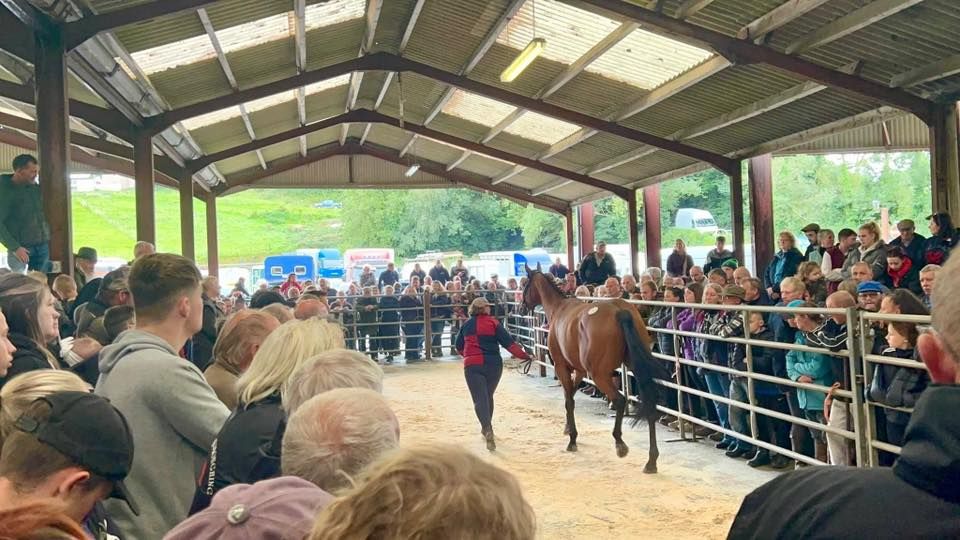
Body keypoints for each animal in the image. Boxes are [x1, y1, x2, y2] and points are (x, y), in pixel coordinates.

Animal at [520, 268, 664, 472]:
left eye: (526, 285)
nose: (522, 307)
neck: (559, 308)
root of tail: (619, 310)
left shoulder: (561, 366)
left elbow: (569, 400)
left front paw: (572, 439)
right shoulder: (580, 371)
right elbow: (570, 396)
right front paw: (568, 428)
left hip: (599, 375)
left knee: (619, 400)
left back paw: (620, 444)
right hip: (636, 367)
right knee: (649, 405)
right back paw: (651, 461)